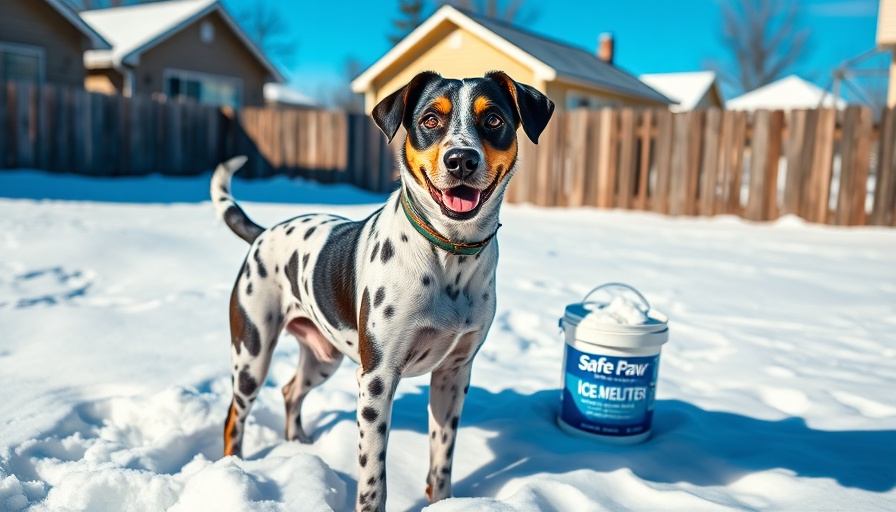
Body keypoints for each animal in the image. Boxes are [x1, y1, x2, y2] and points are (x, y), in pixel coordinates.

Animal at [212, 70, 552, 510]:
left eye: (493, 119)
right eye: (429, 119)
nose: (461, 159)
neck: (450, 257)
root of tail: (262, 233)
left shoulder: (454, 373)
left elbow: (441, 459)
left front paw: (442, 502)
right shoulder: (377, 378)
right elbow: (374, 477)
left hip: (323, 357)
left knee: (290, 390)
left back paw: (299, 443)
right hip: (251, 356)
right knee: (234, 417)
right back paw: (232, 469)